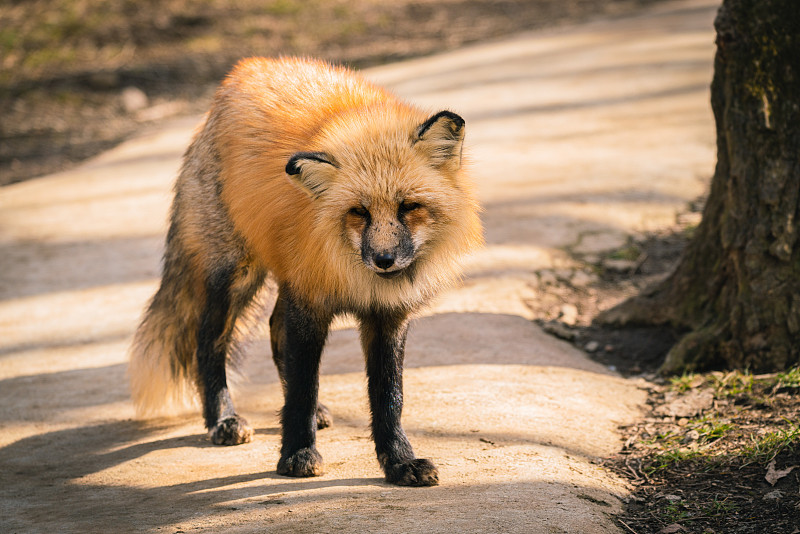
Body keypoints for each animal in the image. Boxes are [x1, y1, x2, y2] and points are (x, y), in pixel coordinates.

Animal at [129, 56, 484, 488]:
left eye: (409, 207)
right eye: (359, 212)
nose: (383, 259)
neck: (357, 279)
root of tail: (243, 70)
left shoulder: (387, 316)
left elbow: (389, 398)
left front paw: (399, 462)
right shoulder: (310, 303)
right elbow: (302, 387)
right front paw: (297, 453)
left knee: (274, 329)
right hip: (236, 276)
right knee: (209, 343)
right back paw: (223, 419)